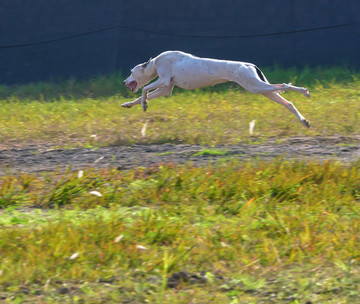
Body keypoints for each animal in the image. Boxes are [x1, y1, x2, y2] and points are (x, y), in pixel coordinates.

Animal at [122, 51, 310, 127]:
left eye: (131, 72)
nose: (124, 82)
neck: (155, 62)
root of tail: (249, 65)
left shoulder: (163, 80)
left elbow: (144, 89)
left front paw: (144, 104)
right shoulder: (166, 88)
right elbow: (141, 94)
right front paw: (129, 104)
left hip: (256, 87)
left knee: (285, 86)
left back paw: (304, 91)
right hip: (262, 90)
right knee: (288, 103)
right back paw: (303, 121)